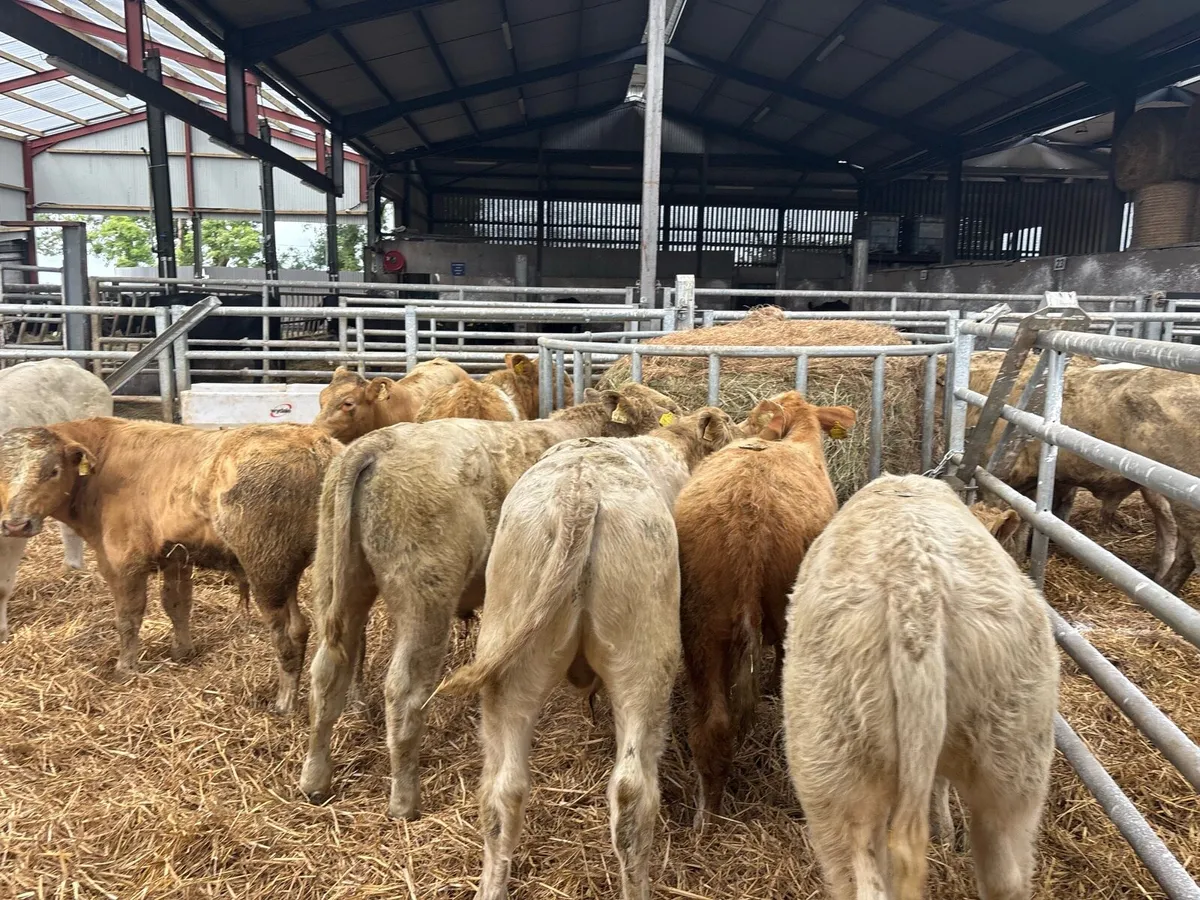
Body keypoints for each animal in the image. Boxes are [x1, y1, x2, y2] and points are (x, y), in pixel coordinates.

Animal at [0, 418, 341, 713]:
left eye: (54, 470)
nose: (15, 525)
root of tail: (315, 441)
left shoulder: (123, 561)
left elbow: (128, 617)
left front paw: (125, 667)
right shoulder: (176, 556)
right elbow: (177, 605)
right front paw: (182, 651)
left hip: (268, 569)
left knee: (286, 633)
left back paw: (285, 702)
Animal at [298, 382, 681, 819]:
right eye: (667, 408)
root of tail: (378, 443)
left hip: (336, 583)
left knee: (326, 674)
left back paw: (315, 780)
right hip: (425, 598)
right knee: (403, 690)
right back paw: (404, 800)